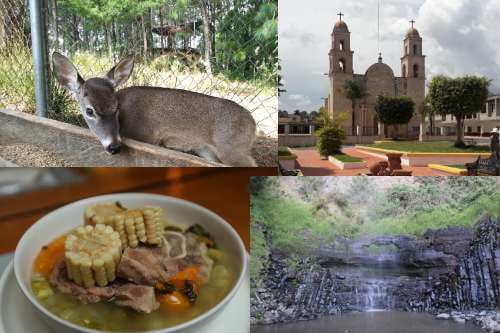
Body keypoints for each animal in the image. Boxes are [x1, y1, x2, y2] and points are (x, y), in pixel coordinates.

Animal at [51, 52, 258, 166]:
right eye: (89, 110)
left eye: (116, 108)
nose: (114, 147)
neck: (124, 126)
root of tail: (253, 122)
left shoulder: (149, 137)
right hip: (207, 150)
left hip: (232, 148)